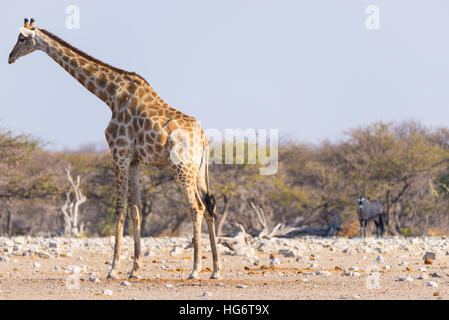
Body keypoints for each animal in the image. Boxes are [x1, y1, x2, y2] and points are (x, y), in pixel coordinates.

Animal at [7, 19, 221, 280]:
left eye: (21, 39)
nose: (10, 57)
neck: (110, 95)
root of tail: (202, 137)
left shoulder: (119, 152)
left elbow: (119, 209)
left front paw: (113, 268)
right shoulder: (135, 160)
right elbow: (136, 211)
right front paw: (135, 268)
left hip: (181, 166)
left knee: (196, 207)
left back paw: (195, 269)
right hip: (198, 169)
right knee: (209, 207)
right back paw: (216, 269)